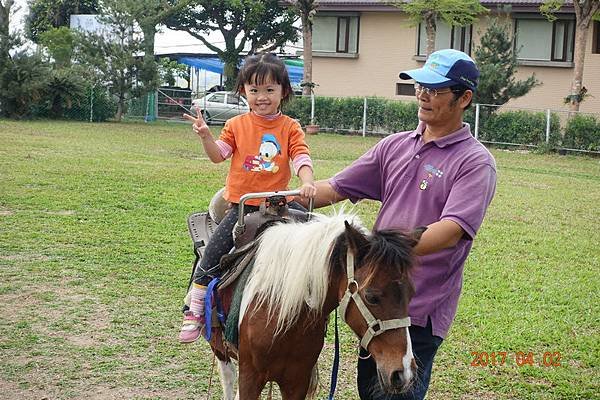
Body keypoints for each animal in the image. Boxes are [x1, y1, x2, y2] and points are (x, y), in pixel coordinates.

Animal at [206, 211, 422, 398]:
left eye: (411, 294)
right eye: (371, 297)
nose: (404, 373)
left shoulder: (296, 382)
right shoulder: (250, 378)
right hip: (219, 347)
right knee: (227, 376)